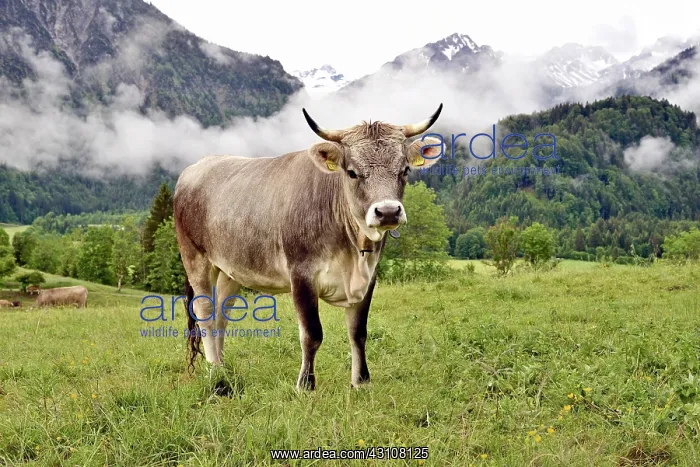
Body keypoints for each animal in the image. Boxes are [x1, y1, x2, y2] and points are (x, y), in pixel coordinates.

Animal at [174, 104, 444, 390]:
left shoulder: (368, 277)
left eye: (405, 170)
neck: (352, 250)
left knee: (221, 314)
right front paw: (305, 384)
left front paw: (361, 381)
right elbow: (312, 334)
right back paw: (215, 372)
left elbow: (358, 332)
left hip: (230, 269)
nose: (388, 211)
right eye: (352, 172)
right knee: (204, 311)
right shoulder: (301, 274)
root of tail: (197, 167)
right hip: (195, 257)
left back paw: (223, 367)